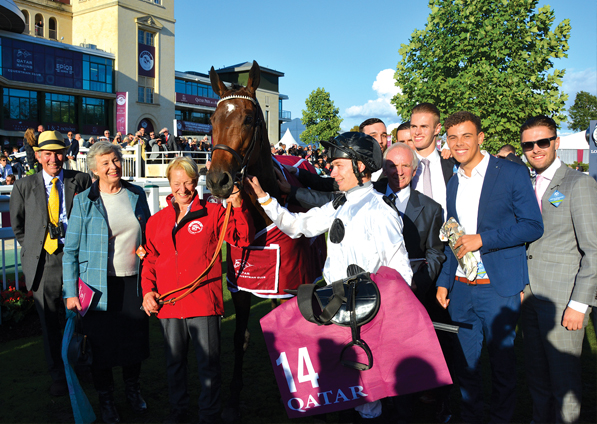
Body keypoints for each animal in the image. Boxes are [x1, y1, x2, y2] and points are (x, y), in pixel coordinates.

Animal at [206, 60, 326, 420]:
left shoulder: (288, 285)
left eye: (249, 118)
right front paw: (233, 397)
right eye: (212, 119)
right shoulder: (239, 285)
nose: (217, 180)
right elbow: (239, 336)